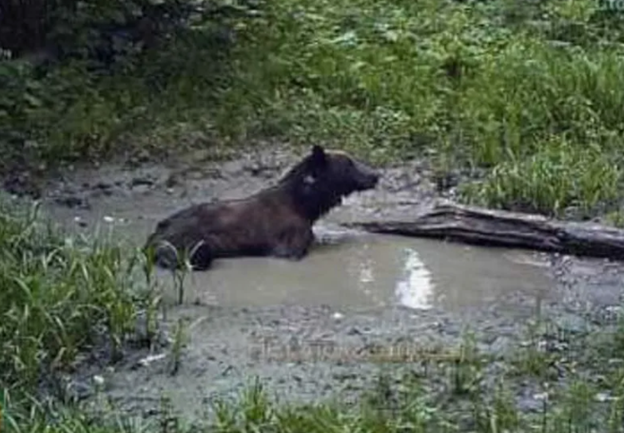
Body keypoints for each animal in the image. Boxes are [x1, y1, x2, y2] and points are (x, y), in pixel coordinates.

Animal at [144, 145, 380, 270]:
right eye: (349, 164)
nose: (376, 174)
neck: (305, 205)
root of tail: (153, 237)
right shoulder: (288, 250)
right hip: (194, 248)